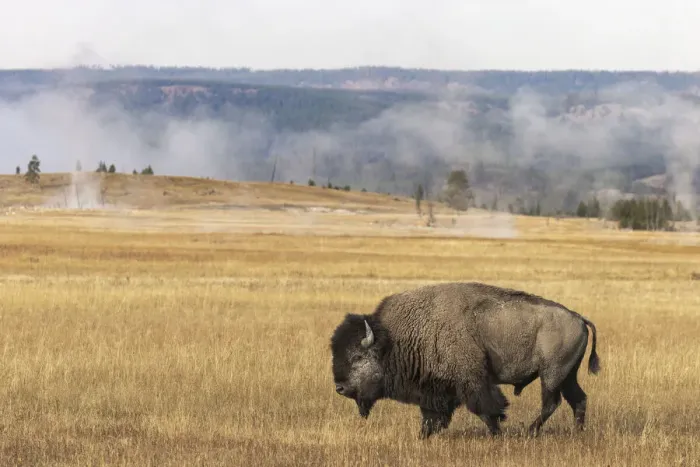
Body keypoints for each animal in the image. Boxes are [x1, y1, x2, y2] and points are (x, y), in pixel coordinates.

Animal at [330, 282, 600, 439]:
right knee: (578, 399)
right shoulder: (434, 389)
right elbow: (432, 414)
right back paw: (577, 433)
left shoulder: (472, 381)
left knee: (551, 402)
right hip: (568, 375)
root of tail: (578, 317)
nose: (340, 388)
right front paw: (423, 436)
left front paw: (497, 434)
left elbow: (486, 408)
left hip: (551, 375)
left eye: (357, 357)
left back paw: (530, 432)